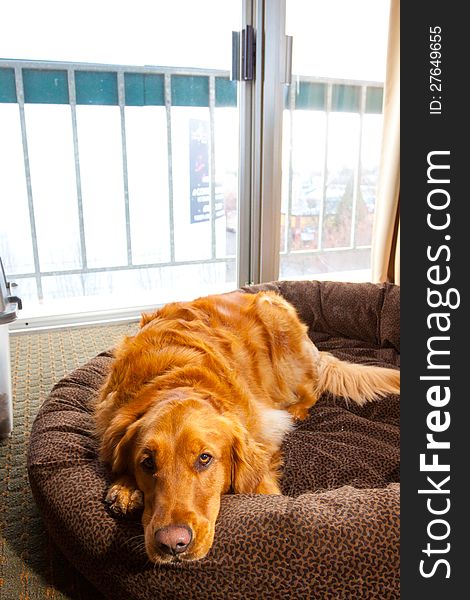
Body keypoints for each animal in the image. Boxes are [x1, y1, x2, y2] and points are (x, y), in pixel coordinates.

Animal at [95, 290, 400, 564]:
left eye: (204, 458)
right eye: (147, 462)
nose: (172, 543)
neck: (174, 378)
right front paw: (125, 488)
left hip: (279, 332)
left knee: (311, 390)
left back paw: (298, 410)